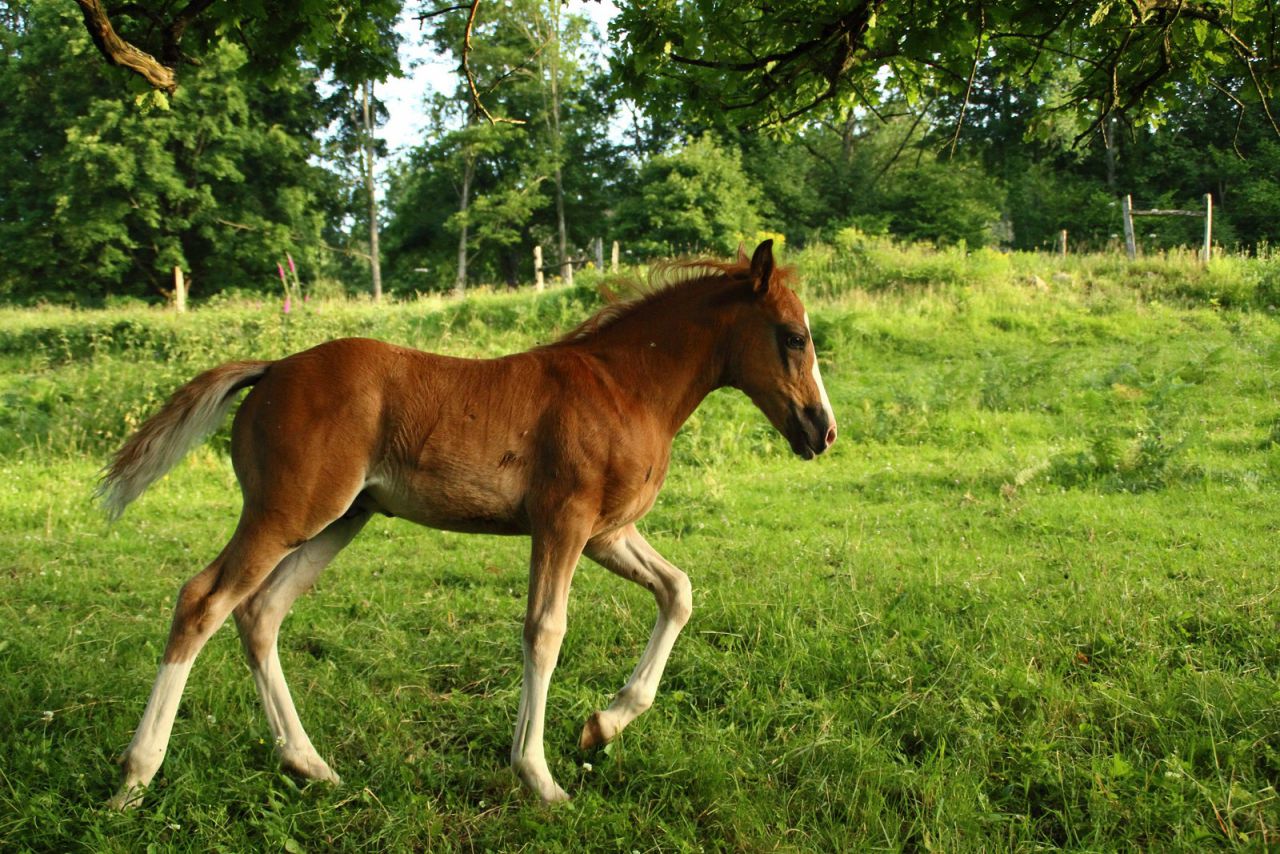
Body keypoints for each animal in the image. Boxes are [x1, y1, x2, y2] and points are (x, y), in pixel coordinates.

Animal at [100, 239, 836, 808]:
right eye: (794, 338)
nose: (822, 431)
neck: (625, 386)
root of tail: (272, 368)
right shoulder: (563, 522)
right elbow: (544, 632)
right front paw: (539, 778)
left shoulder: (606, 533)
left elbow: (678, 591)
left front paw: (602, 725)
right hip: (286, 513)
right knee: (203, 600)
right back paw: (134, 778)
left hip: (339, 520)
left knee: (260, 613)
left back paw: (310, 765)